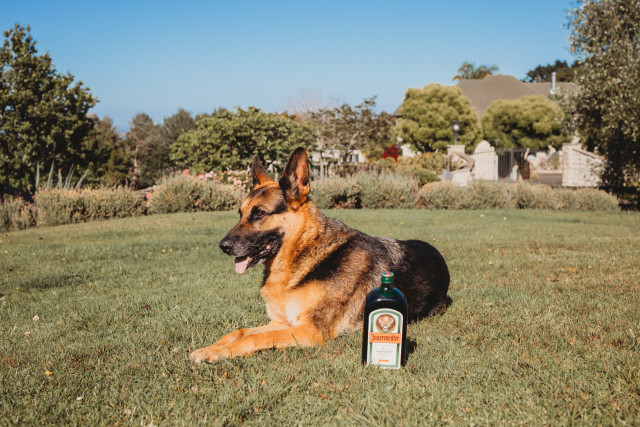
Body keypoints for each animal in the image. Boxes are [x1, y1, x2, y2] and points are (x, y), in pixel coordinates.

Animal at [188, 147, 450, 363]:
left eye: (259, 213)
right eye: (240, 214)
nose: (223, 246)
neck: (303, 254)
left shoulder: (310, 330)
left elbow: (254, 338)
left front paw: (216, 353)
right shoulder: (280, 323)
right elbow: (239, 331)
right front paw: (209, 348)